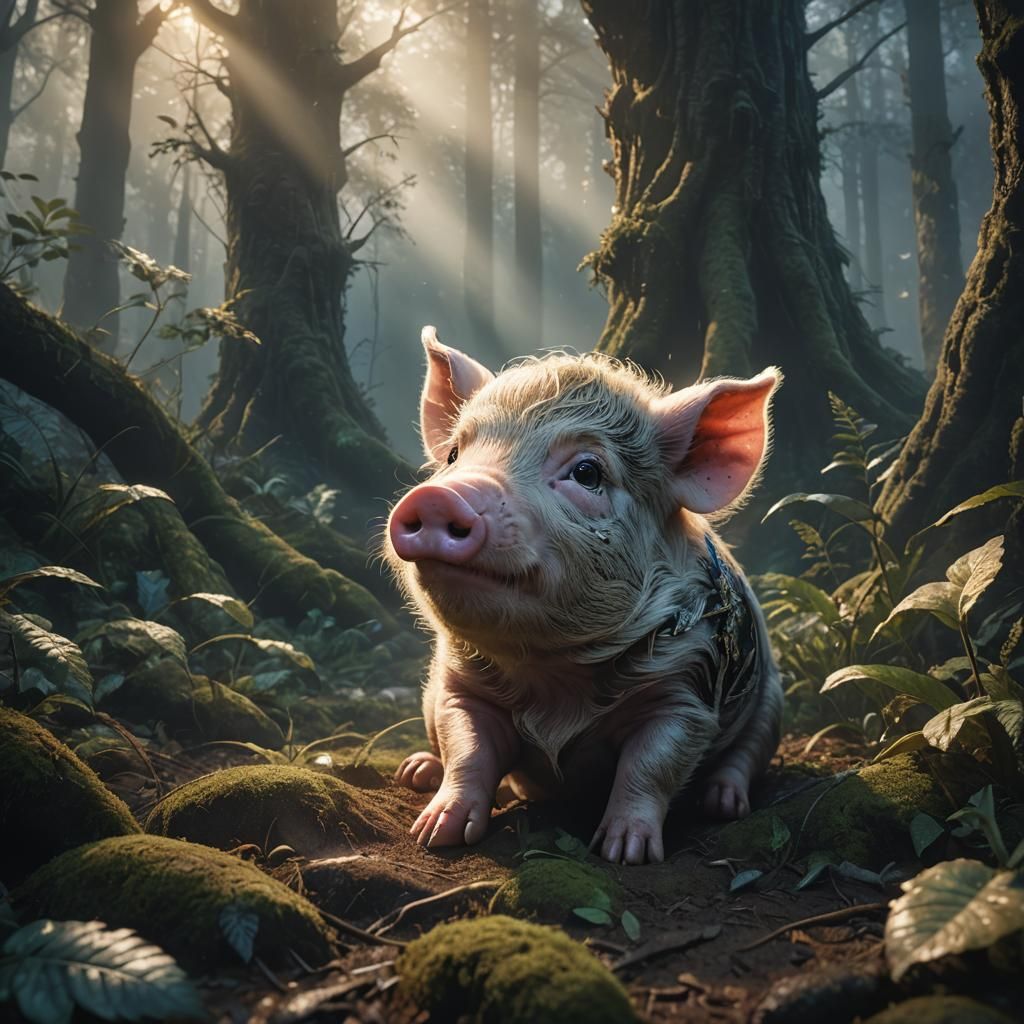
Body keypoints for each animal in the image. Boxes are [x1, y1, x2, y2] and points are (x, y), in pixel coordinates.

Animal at [384, 327, 783, 865]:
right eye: (452, 456)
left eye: (588, 473)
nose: (439, 496)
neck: (553, 674)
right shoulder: (456, 689)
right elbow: (467, 752)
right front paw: (433, 834)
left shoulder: (687, 691)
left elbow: (649, 768)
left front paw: (625, 853)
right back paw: (416, 771)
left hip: (771, 703)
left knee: (745, 757)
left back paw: (723, 804)